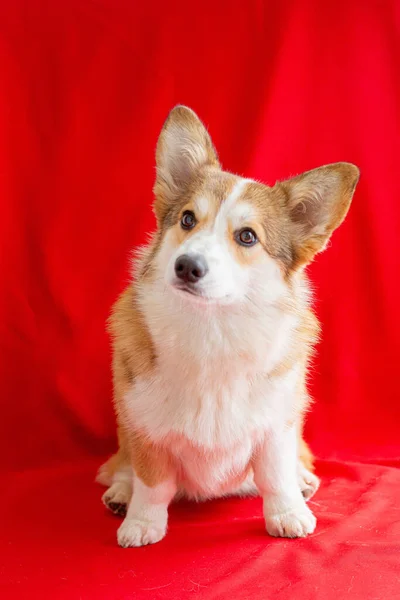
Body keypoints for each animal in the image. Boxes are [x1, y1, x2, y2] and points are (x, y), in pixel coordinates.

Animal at [97, 105, 360, 548]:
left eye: (247, 237)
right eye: (187, 219)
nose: (187, 266)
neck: (212, 330)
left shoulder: (276, 425)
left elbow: (276, 476)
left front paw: (288, 515)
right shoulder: (145, 427)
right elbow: (152, 484)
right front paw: (142, 523)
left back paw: (304, 480)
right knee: (123, 465)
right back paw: (120, 492)